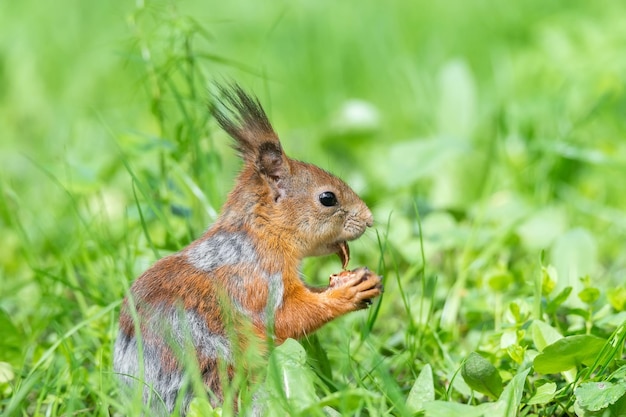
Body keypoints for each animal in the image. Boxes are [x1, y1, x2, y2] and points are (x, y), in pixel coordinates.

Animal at [114, 83, 382, 414]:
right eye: (328, 198)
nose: (369, 220)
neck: (262, 235)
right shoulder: (256, 280)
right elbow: (287, 319)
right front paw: (347, 294)